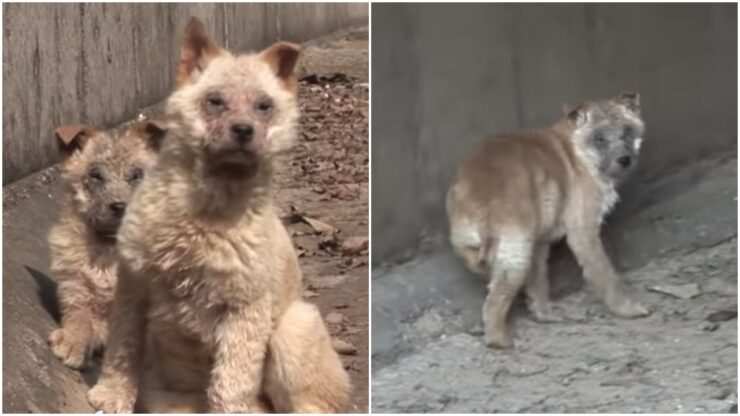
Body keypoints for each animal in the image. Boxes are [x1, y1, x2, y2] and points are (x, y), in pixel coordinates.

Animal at [48, 119, 166, 368]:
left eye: (137, 175)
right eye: (95, 175)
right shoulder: (76, 292)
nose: (119, 206)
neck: (108, 250)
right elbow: (80, 319)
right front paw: (72, 340)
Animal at [85, 17, 352, 412]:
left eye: (264, 105)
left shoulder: (244, 308)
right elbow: (123, 347)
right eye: (215, 101)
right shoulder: (134, 286)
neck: (208, 205)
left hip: (294, 328)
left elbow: (231, 379)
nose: (243, 130)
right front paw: (111, 394)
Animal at [446, 92, 648, 350]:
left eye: (628, 131)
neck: (578, 152)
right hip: (515, 255)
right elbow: (605, 274)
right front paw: (627, 309)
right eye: (599, 138)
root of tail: (484, 201)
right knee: (493, 303)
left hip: (481, 248)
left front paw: (544, 314)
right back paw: (500, 341)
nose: (625, 160)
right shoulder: (583, 233)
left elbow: (539, 281)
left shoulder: (540, 243)